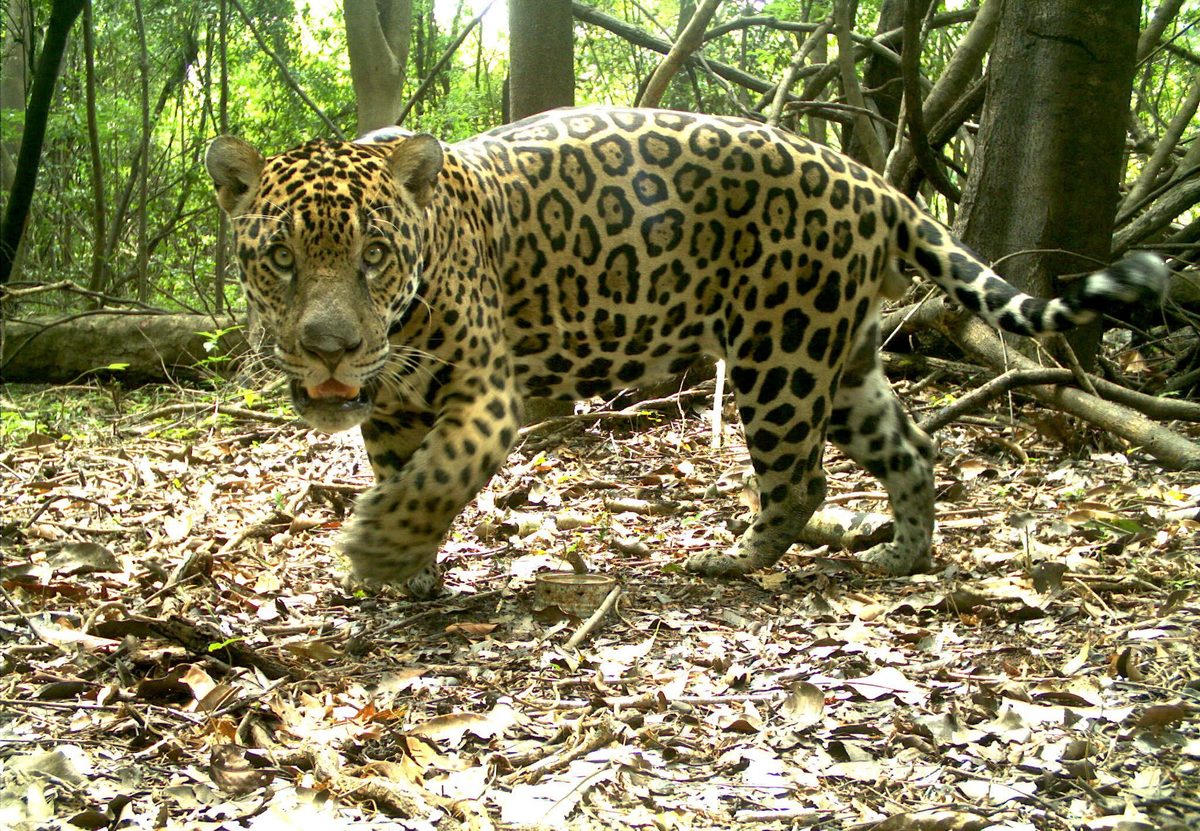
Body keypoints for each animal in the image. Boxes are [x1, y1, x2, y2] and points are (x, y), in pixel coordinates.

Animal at [205, 106, 1165, 599]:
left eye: (374, 254)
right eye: (280, 257)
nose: (330, 349)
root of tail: (877, 182)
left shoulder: (486, 391)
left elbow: (438, 473)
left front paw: (376, 548)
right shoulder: (394, 405)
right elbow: (403, 472)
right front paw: (407, 569)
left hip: (781, 353)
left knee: (802, 478)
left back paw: (732, 557)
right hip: (841, 358)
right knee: (912, 446)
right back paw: (902, 554)